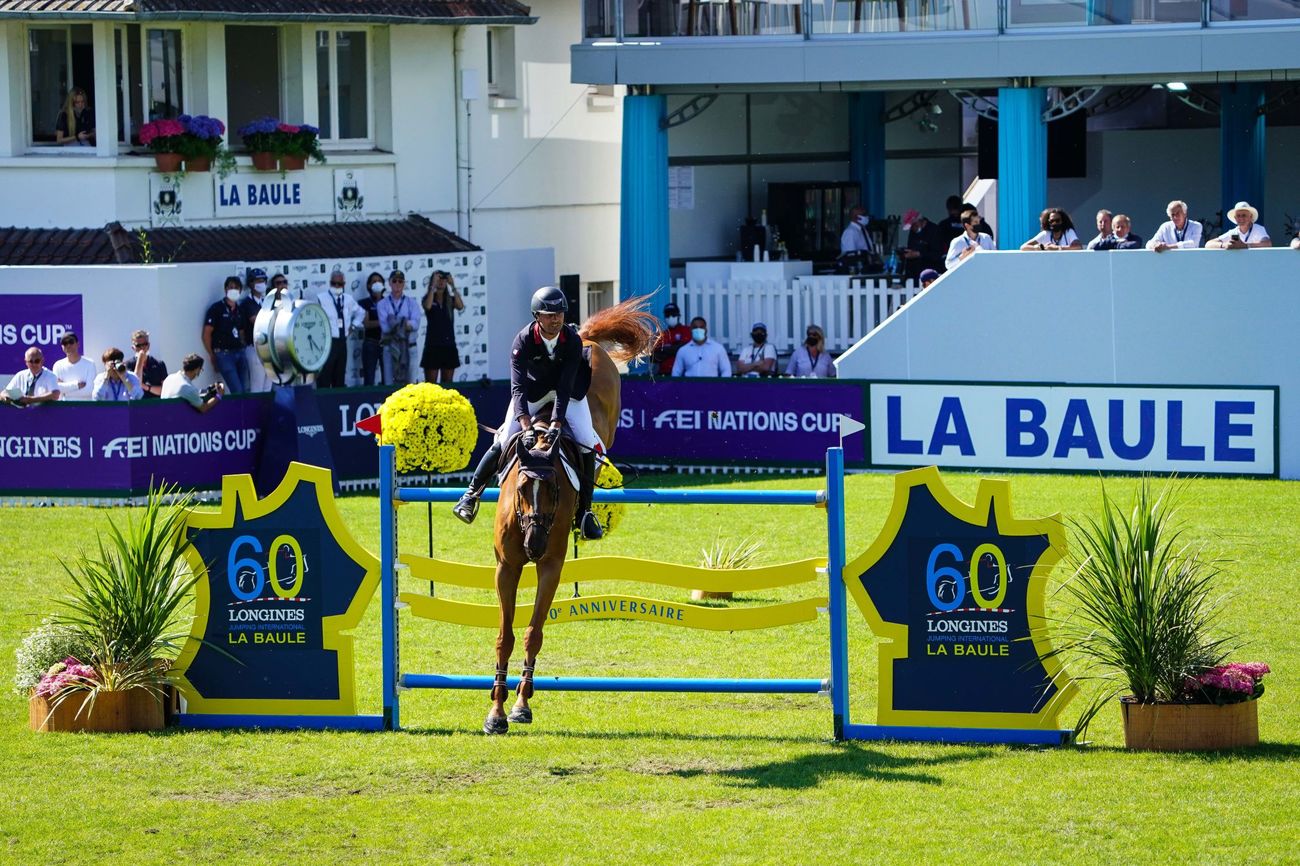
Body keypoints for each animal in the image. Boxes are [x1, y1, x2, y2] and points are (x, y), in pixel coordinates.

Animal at [486, 295, 660, 728]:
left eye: (554, 490)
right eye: (521, 489)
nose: (533, 545)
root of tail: (586, 339)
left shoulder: (551, 565)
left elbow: (532, 633)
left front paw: (521, 704)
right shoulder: (506, 567)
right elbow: (505, 636)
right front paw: (495, 711)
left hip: (602, 415)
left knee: (595, 445)